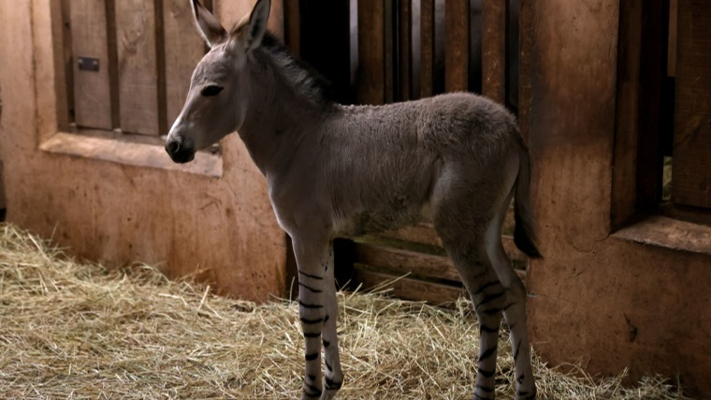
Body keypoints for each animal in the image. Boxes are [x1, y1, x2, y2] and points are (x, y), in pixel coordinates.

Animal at [167, 1, 544, 398]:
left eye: (212, 89)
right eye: (192, 84)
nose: (172, 146)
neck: (296, 141)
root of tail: (511, 126)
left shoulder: (305, 235)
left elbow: (310, 312)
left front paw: (311, 389)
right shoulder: (324, 238)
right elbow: (329, 305)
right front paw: (332, 384)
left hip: (459, 229)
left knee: (489, 302)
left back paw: (484, 389)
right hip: (485, 227)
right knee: (514, 291)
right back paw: (525, 389)